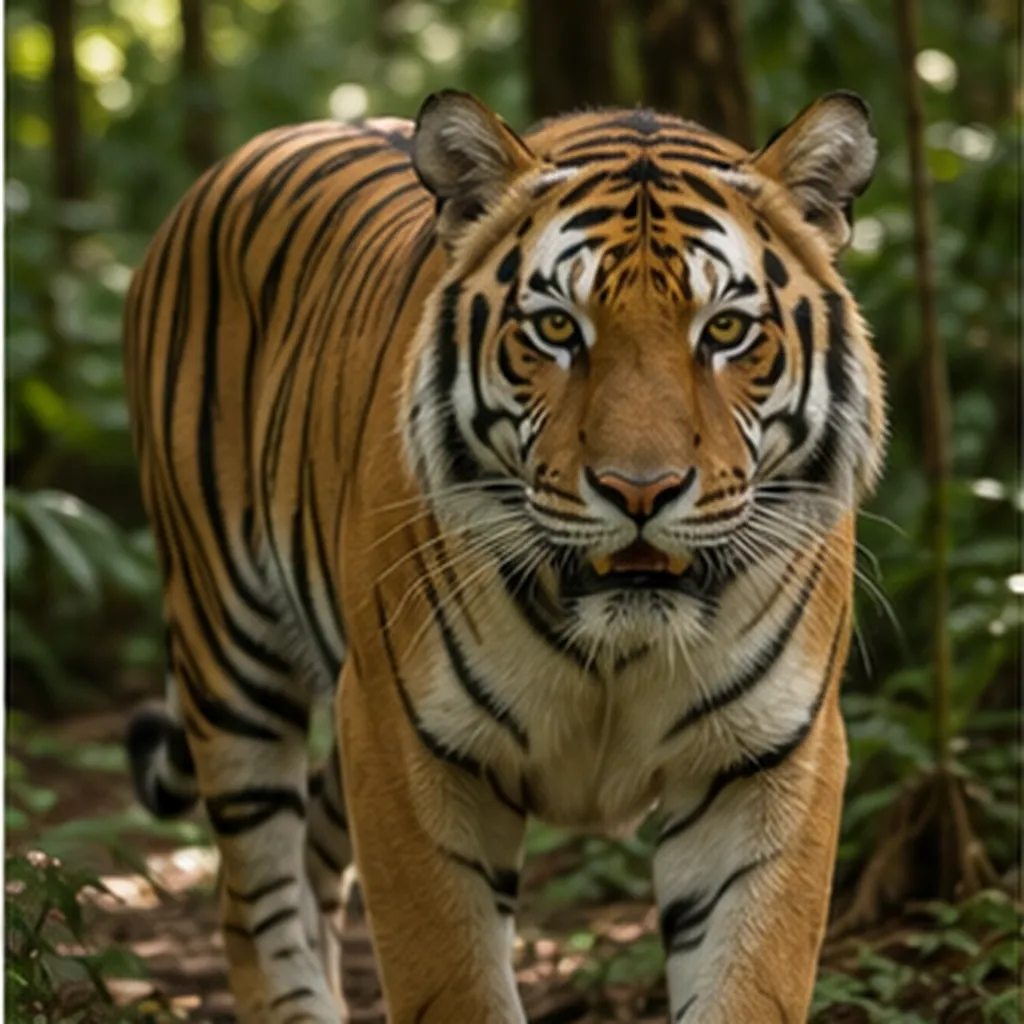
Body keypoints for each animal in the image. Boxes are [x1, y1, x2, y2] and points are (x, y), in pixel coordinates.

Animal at [122, 87, 886, 1024]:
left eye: (728, 330)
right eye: (556, 327)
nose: (641, 491)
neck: (619, 644)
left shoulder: (770, 757)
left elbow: (749, 983)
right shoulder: (406, 742)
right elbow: (450, 979)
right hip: (231, 654)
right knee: (252, 901)